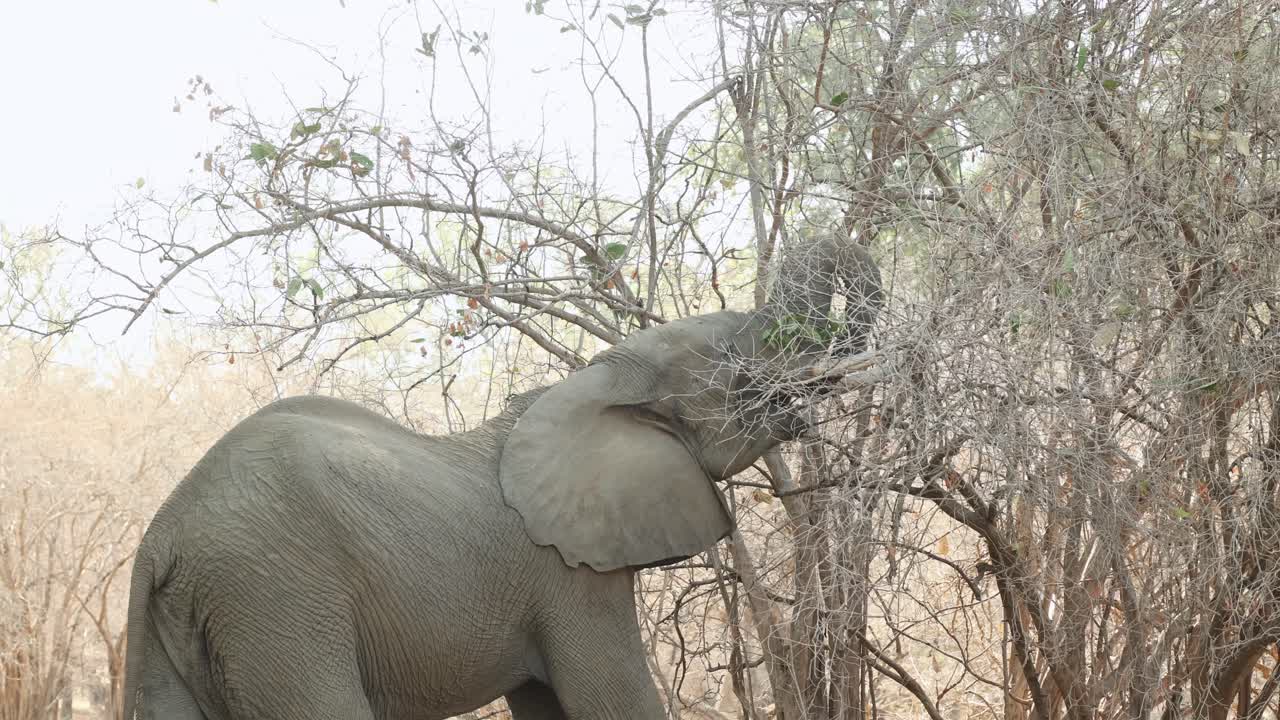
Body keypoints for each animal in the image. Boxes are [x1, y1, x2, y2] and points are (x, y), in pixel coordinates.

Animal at [121, 230, 882, 720]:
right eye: (738, 371)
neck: (593, 380)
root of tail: (162, 536)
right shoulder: (570, 577)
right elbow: (614, 700)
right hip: (276, 595)